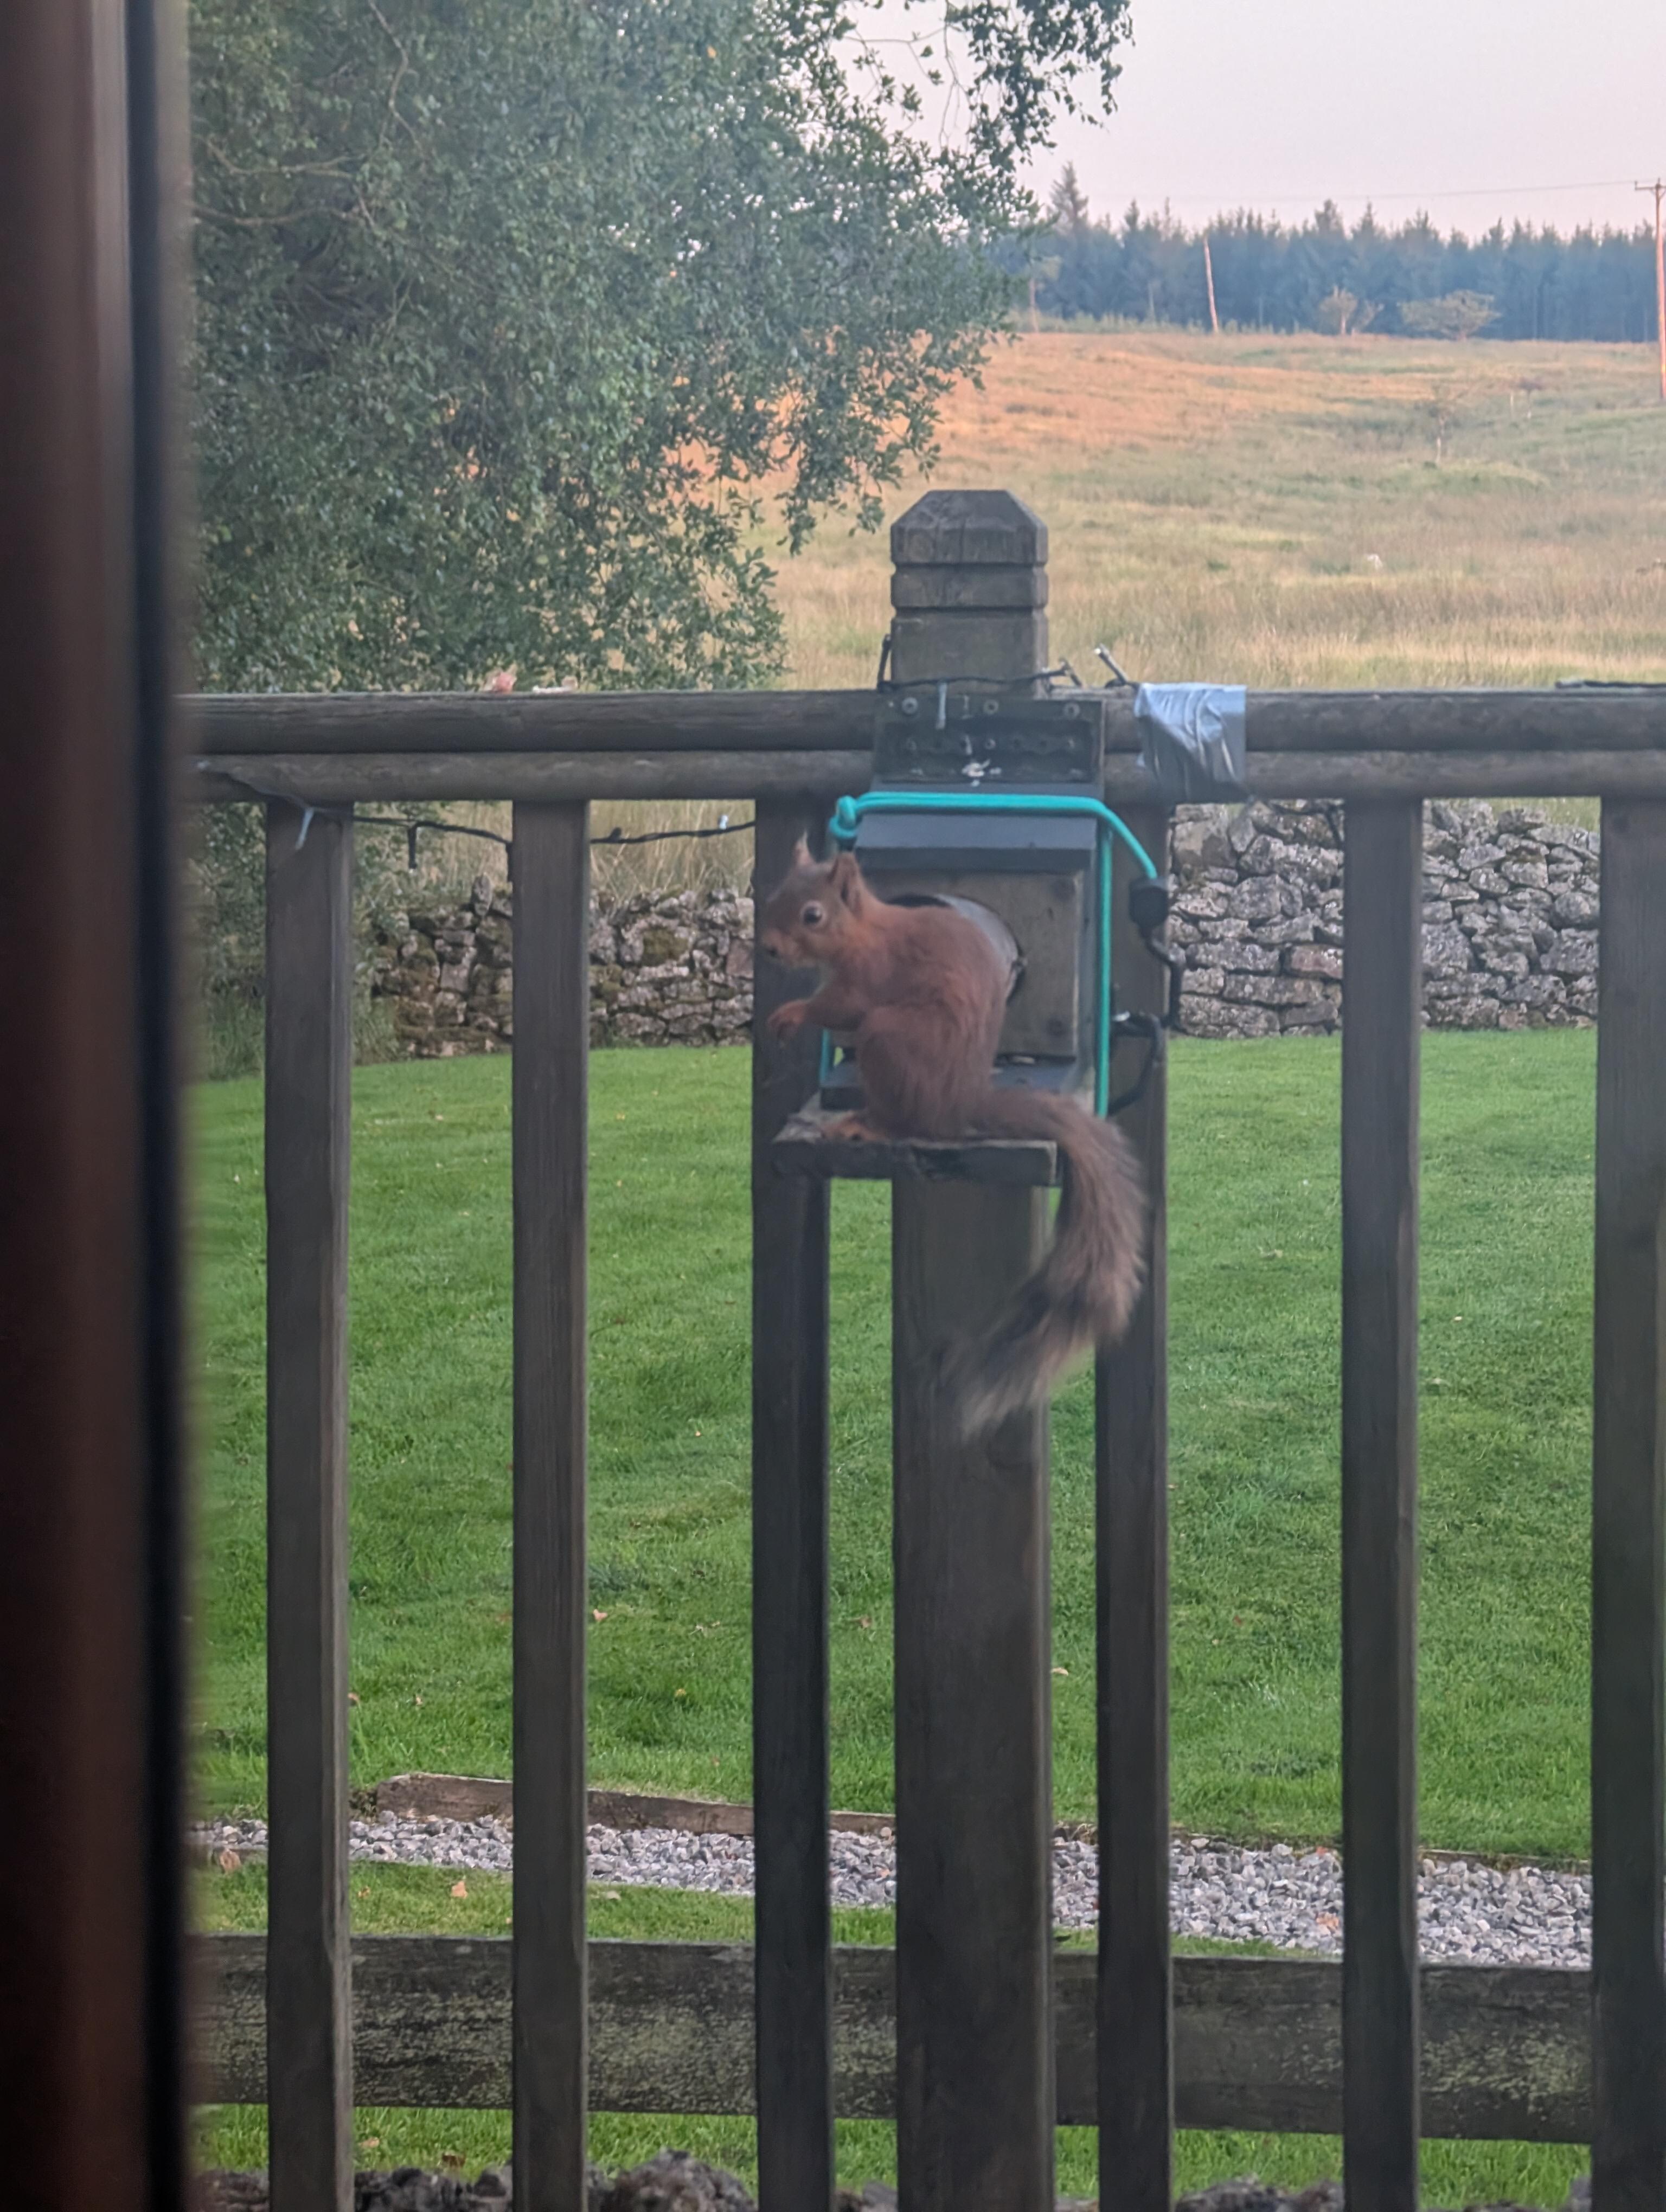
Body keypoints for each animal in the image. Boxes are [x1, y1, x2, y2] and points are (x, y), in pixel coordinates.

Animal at [760, 838, 1146, 1434]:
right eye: (775, 895)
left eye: (813, 915)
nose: (770, 949)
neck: (864, 931)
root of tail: (959, 1102)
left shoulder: (869, 975)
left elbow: (840, 1006)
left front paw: (795, 1013)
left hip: (887, 1039)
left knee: (901, 1113)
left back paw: (865, 1121)